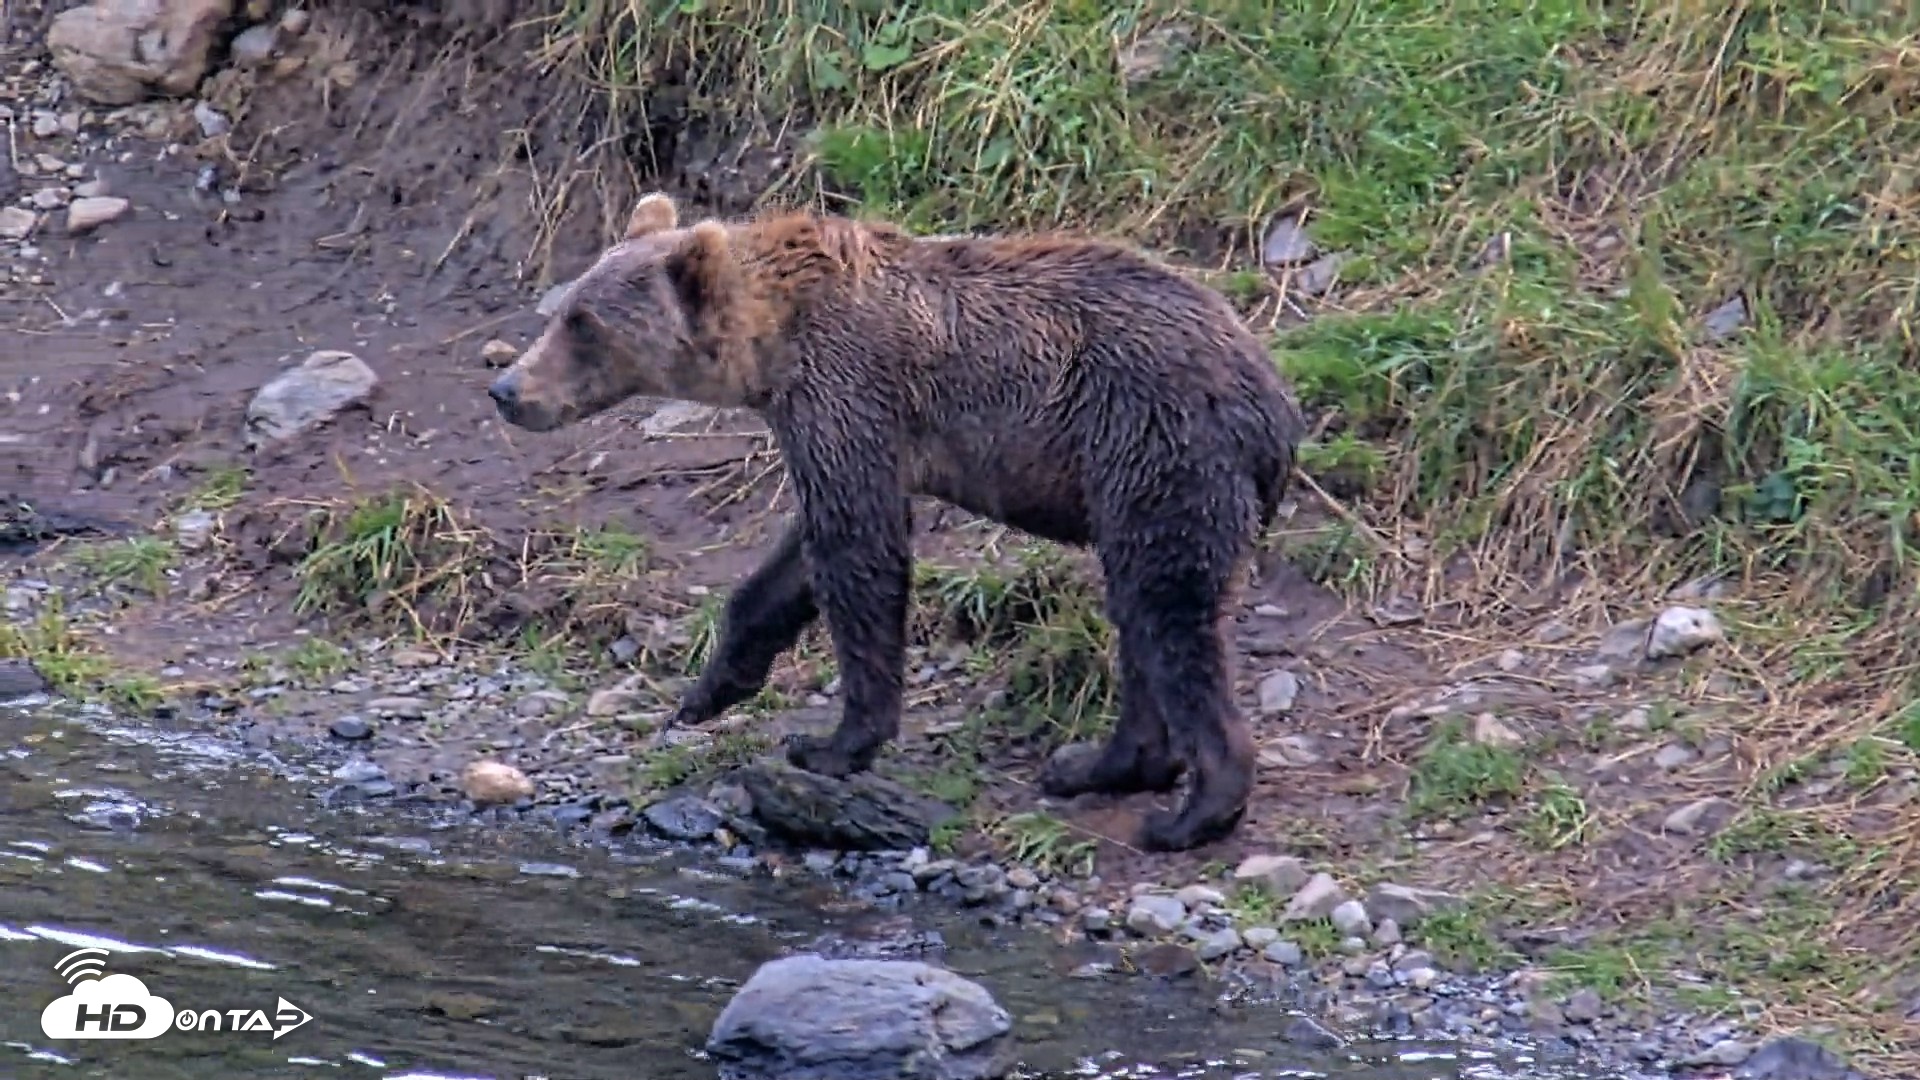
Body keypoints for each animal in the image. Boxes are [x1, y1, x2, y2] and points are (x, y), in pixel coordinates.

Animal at [487, 191, 1306, 853]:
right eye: (568, 310)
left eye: (584, 323)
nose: (507, 389)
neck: (773, 343)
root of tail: (1274, 398)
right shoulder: (833, 427)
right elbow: (794, 564)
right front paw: (709, 690)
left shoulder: (850, 393)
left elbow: (859, 554)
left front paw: (832, 743)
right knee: (1139, 617)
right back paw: (1098, 764)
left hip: (1156, 445)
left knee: (1169, 612)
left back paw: (1194, 810)